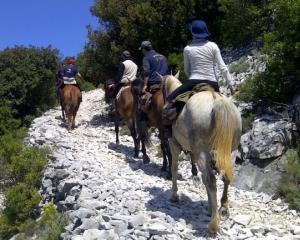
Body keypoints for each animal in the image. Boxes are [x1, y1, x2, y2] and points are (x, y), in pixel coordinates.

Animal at [161, 74, 243, 233]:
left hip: (202, 152)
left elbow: (174, 168)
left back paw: (213, 225)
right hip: (230, 151)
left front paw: (174, 195)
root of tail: (216, 100)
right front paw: (210, 206)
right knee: (225, 177)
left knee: (211, 180)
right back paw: (223, 209)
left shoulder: (174, 145)